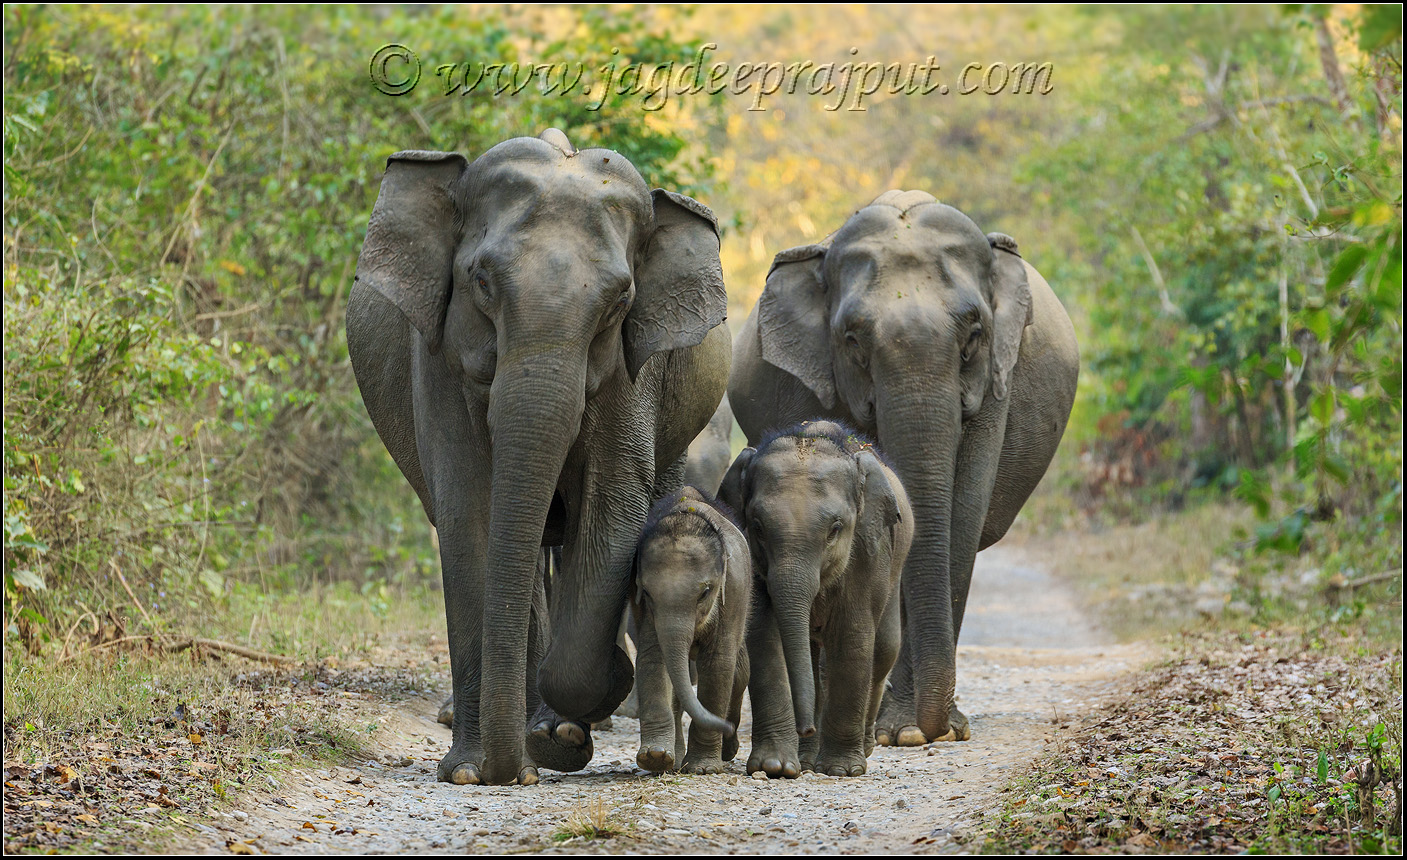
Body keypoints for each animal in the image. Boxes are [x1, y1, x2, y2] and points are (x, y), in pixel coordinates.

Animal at [346, 128, 730, 786]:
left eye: (620, 300)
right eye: (480, 281)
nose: (500, 771)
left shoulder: (636, 370)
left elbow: (612, 505)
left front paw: (573, 726)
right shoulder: (438, 354)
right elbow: (469, 512)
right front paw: (471, 771)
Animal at [630, 486, 751, 774]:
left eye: (705, 593)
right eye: (647, 593)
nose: (726, 727)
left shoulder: (734, 589)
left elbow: (718, 664)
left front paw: (703, 769)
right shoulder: (643, 605)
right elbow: (653, 657)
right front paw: (655, 758)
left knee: (740, 671)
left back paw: (727, 749)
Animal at [718, 421, 912, 777]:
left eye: (835, 528)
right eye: (757, 527)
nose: (805, 728)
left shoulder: (868, 550)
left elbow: (852, 635)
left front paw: (842, 771)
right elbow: (764, 635)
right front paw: (776, 767)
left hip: (896, 564)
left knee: (884, 649)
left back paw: (862, 747)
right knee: (810, 653)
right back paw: (807, 760)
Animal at [727, 190, 1078, 747]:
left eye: (974, 335)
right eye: (852, 340)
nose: (935, 729)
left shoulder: (995, 384)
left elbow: (960, 517)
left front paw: (916, 731)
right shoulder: (808, 382)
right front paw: (899, 732)